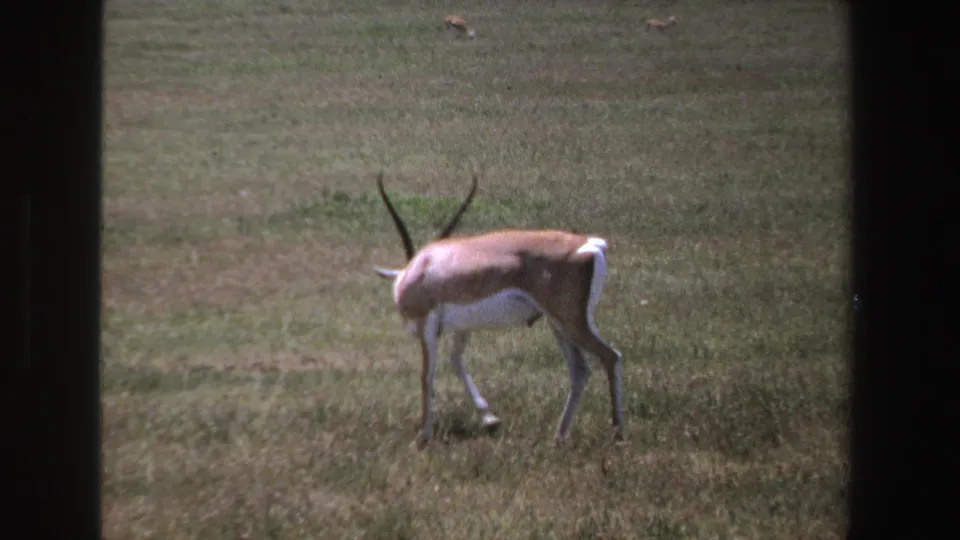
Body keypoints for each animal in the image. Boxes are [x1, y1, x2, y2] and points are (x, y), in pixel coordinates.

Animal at [373, 173, 624, 448]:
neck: (422, 268)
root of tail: (591, 245)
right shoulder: (463, 328)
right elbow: (456, 361)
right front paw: (490, 419)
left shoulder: (427, 325)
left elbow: (426, 375)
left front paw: (423, 437)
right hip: (559, 324)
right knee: (580, 370)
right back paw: (558, 437)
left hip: (570, 322)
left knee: (610, 356)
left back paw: (617, 433)